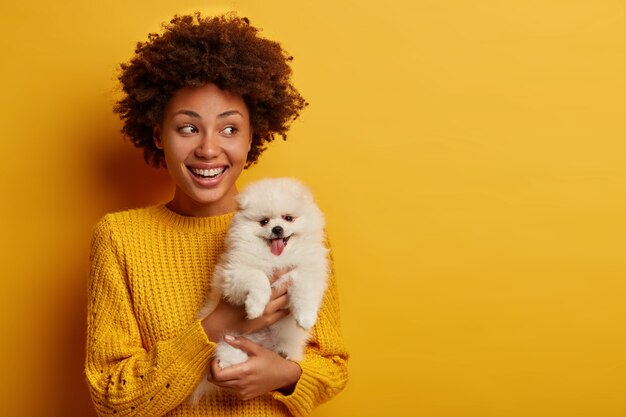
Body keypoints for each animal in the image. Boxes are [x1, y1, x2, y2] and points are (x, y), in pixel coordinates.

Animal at [189, 177, 326, 402]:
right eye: (264, 222)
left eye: (288, 218)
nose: (277, 229)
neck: (276, 258)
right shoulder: (235, 273)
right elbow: (258, 278)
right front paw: (255, 308)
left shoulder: (308, 269)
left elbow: (304, 292)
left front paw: (305, 318)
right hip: (231, 340)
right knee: (229, 353)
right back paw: (228, 363)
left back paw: (283, 354)